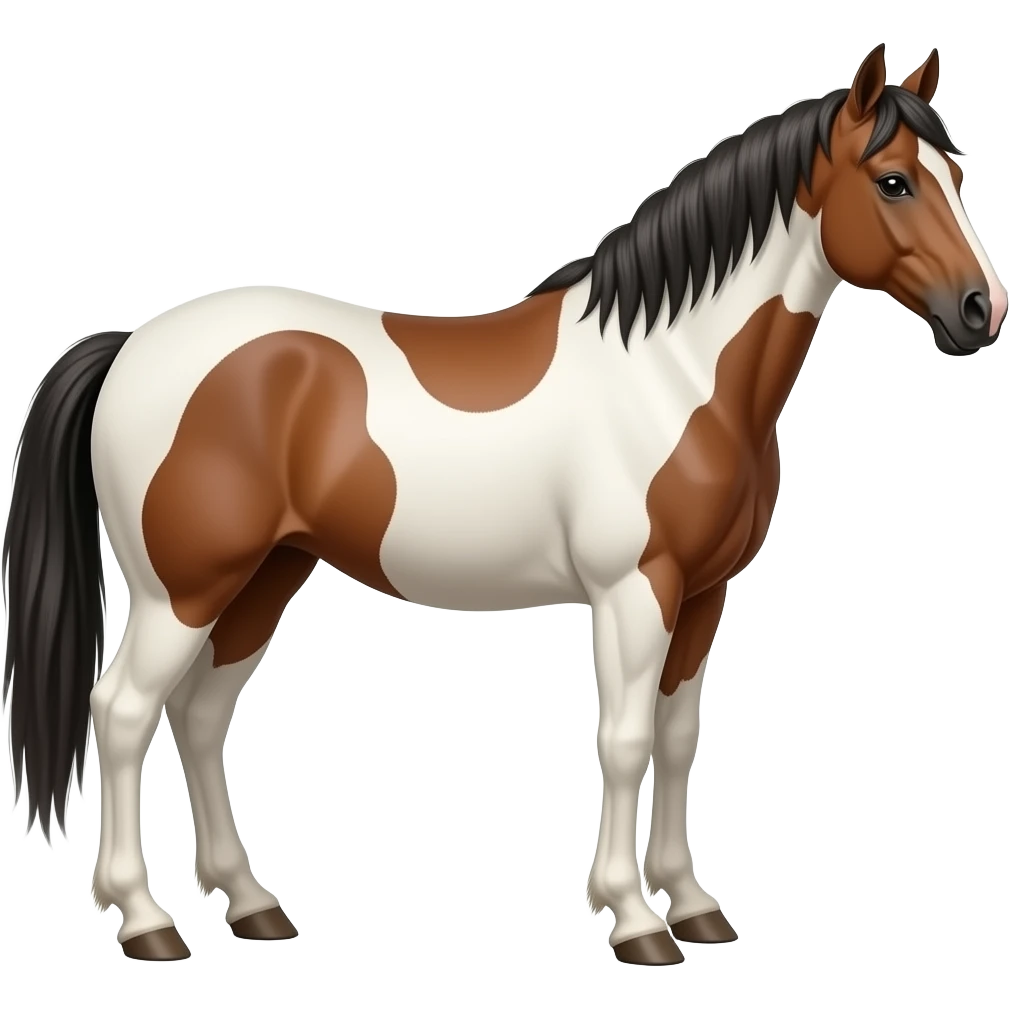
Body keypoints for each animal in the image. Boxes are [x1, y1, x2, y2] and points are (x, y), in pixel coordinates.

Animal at [1, 43, 1004, 966]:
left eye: (956, 174)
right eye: (893, 182)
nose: (980, 312)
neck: (677, 372)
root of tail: (132, 345)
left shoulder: (704, 595)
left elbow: (679, 739)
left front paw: (692, 906)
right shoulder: (634, 591)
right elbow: (626, 740)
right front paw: (636, 920)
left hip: (265, 577)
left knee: (201, 716)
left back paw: (251, 905)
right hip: (182, 590)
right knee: (122, 714)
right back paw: (145, 921)